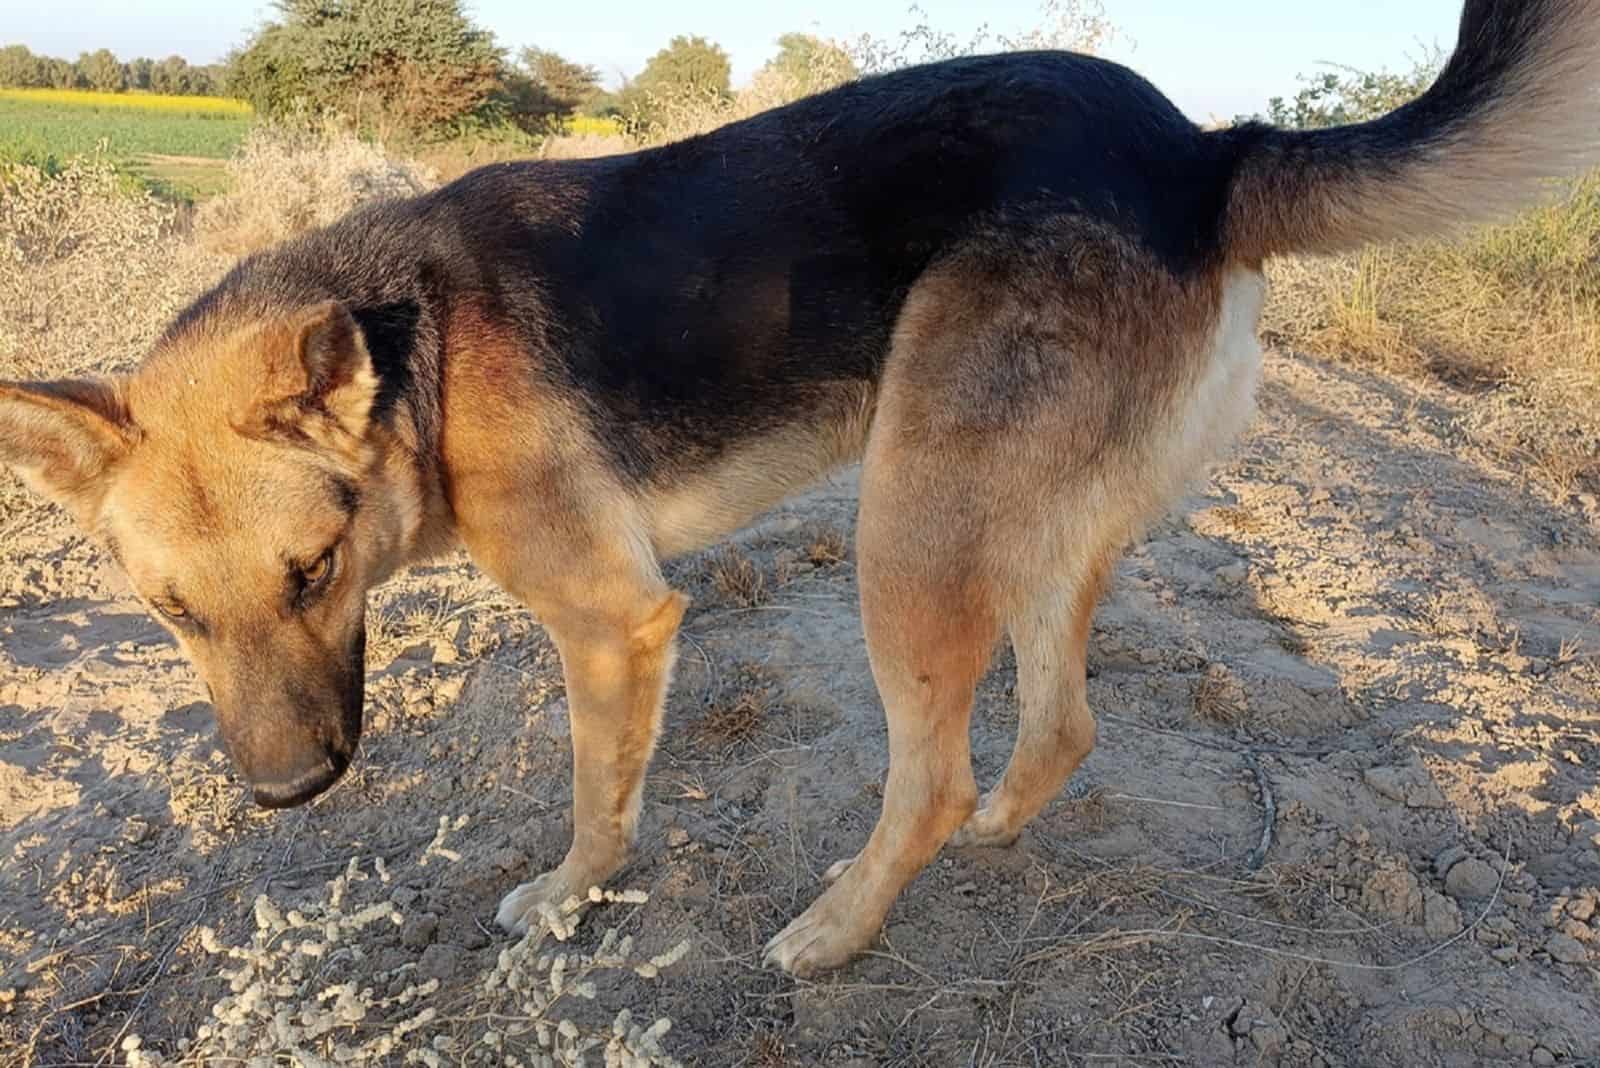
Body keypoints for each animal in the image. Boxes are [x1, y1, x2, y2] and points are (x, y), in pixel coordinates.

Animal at [3, 0, 1600, 972]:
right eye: (169, 615)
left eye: (315, 571)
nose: (286, 795)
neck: (422, 347)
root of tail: (1204, 155)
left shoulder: (615, 622)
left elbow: (596, 800)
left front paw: (566, 904)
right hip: (1031, 527)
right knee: (1058, 726)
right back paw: (996, 832)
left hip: (907, 531)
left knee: (933, 770)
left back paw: (834, 933)